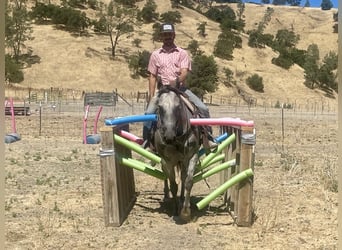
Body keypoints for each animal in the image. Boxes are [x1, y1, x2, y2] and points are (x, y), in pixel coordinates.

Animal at [153, 85, 200, 223]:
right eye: (159, 107)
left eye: (178, 107)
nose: (169, 136)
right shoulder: (167, 161)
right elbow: (173, 185)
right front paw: (175, 210)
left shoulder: (192, 156)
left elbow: (188, 181)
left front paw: (185, 212)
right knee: (166, 177)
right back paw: (167, 196)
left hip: (183, 161)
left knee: (183, 178)